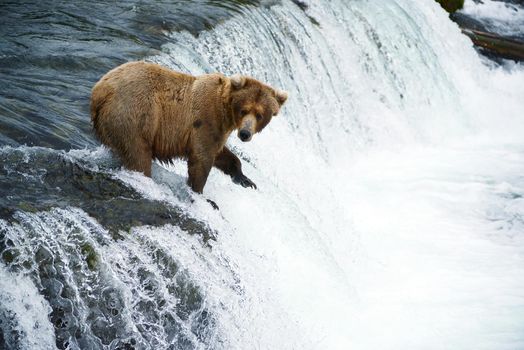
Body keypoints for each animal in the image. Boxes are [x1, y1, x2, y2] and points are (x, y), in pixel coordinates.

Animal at [89, 62, 286, 194]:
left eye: (260, 114)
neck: (225, 111)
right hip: (134, 115)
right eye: (244, 109)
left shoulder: (219, 129)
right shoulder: (206, 119)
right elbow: (201, 158)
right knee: (138, 154)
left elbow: (221, 153)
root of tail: (100, 90)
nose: (245, 133)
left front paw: (245, 179)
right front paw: (201, 193)